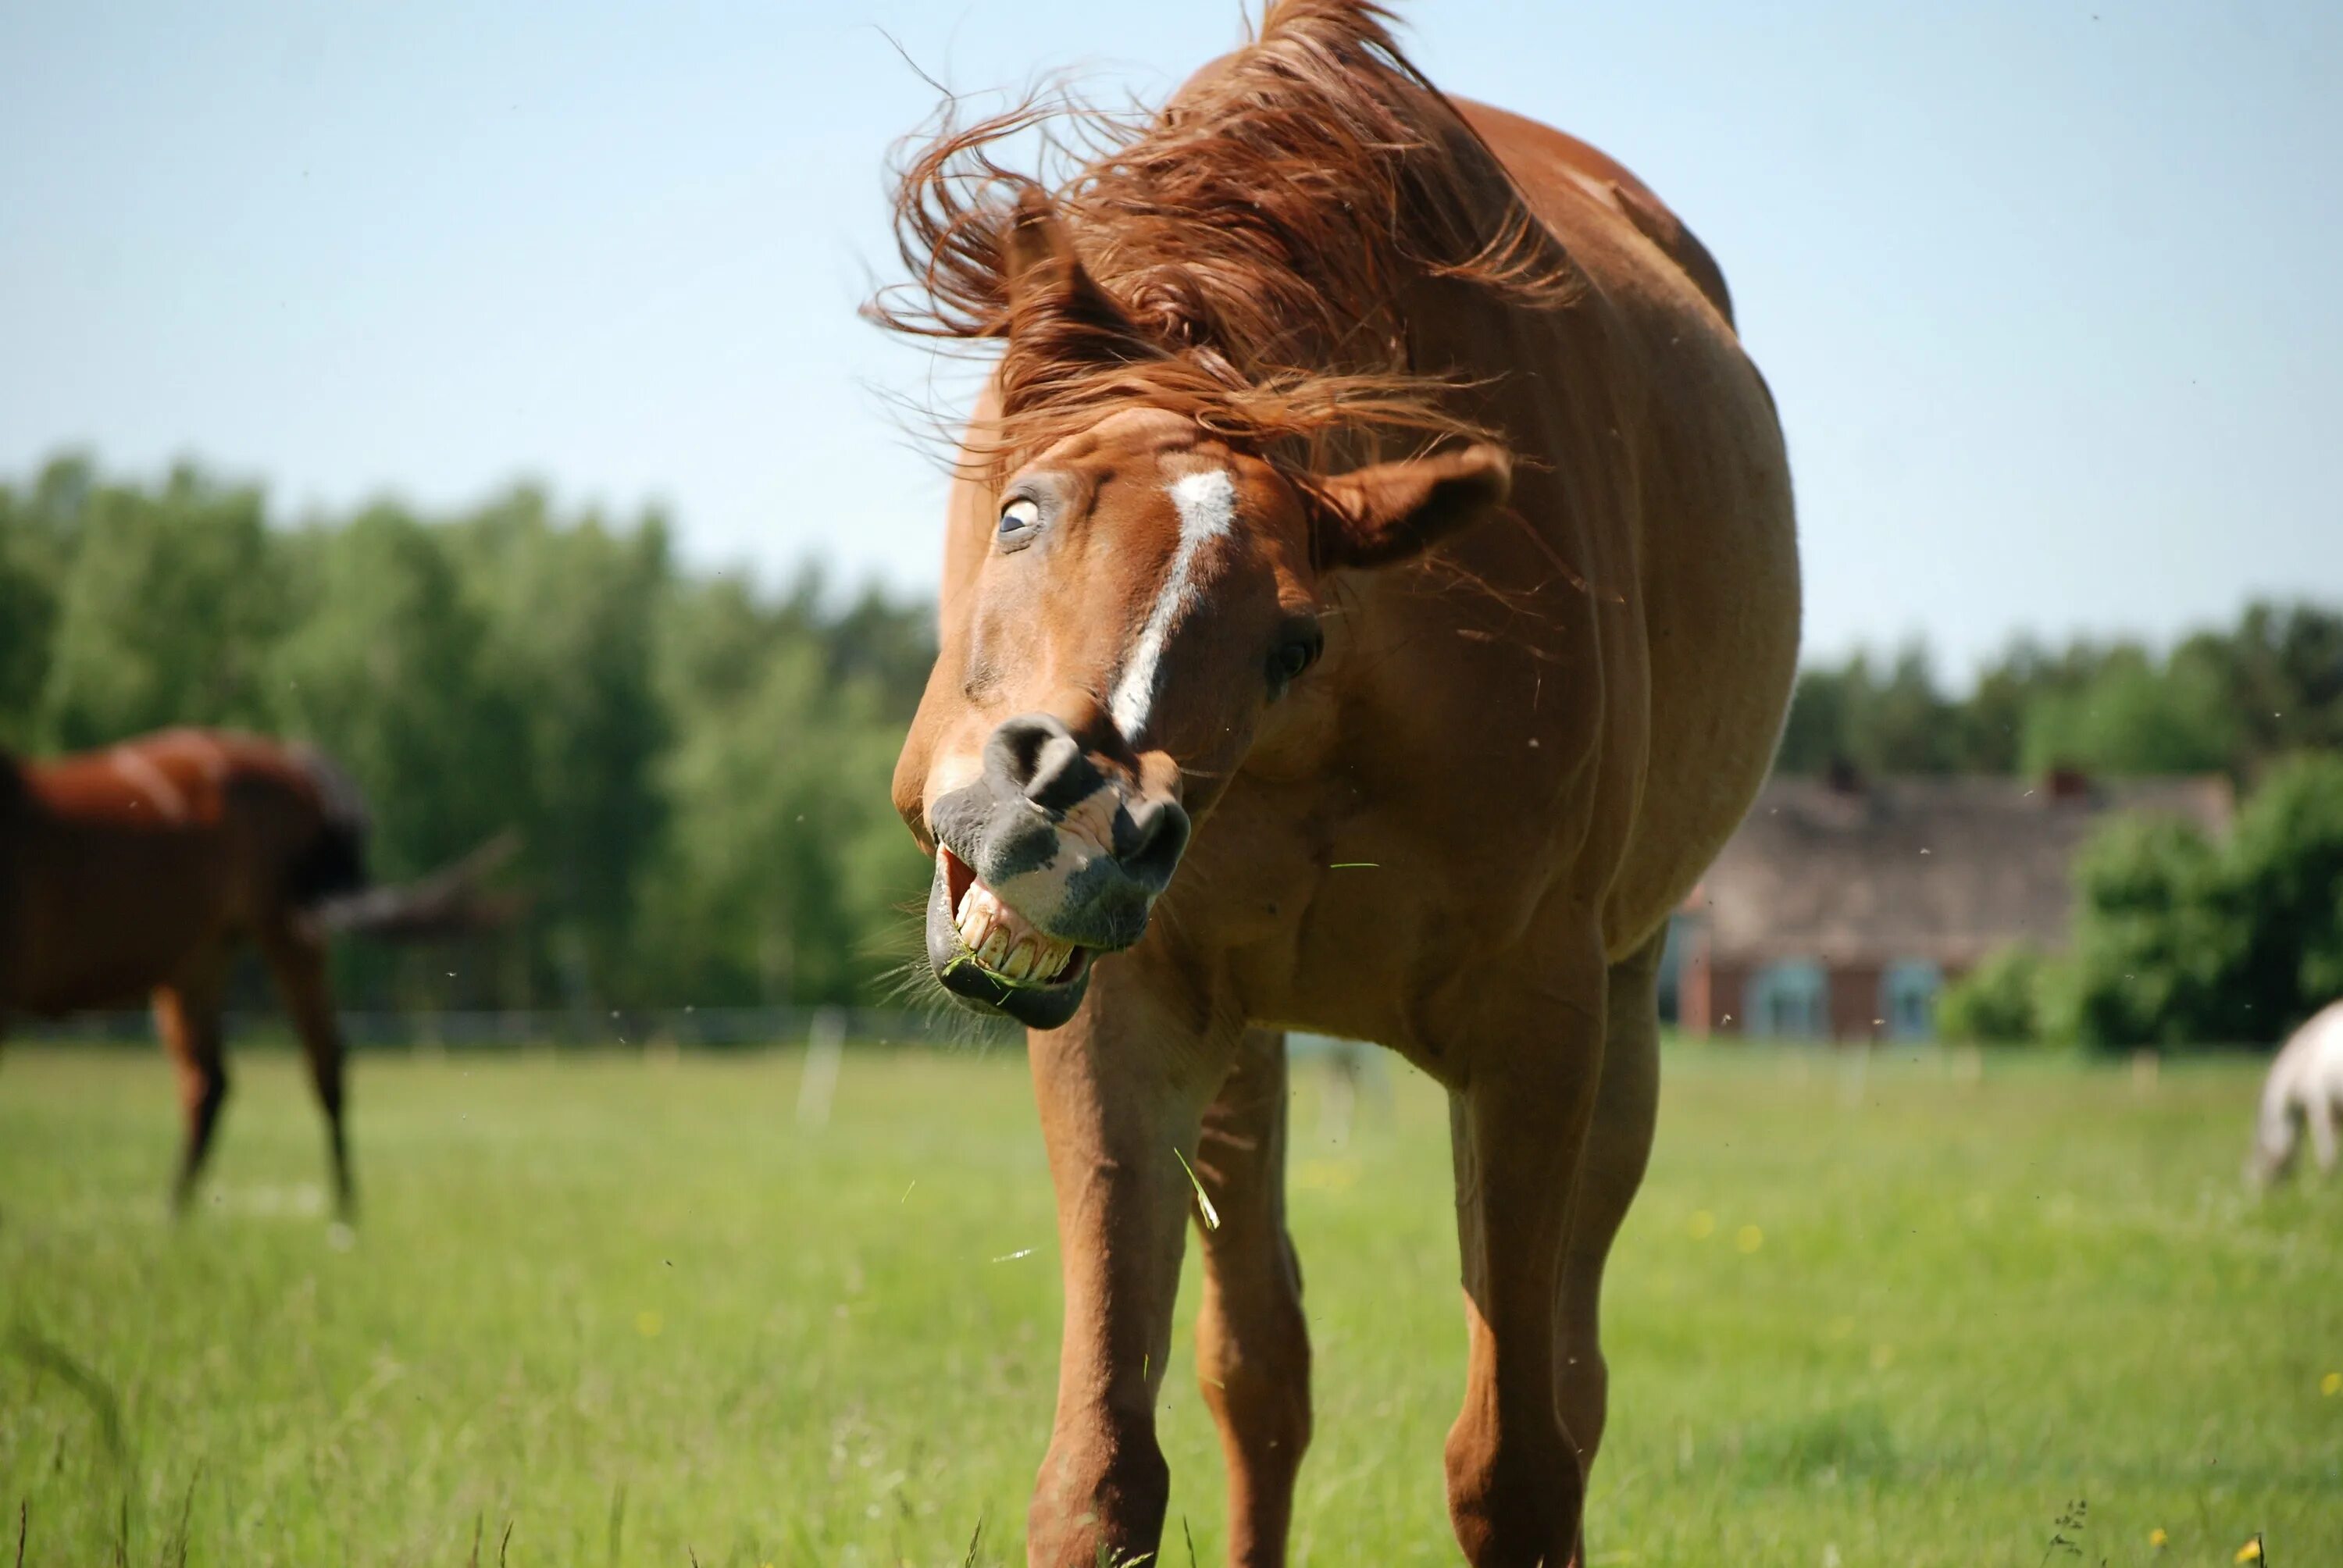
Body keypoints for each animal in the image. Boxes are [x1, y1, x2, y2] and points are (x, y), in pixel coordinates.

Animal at [0, 726, 511, 1218]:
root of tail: (291, 762)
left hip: (285, 934)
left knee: (320, 1066)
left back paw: (342, 1215)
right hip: (198, 963)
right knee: (208, 1083)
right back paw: (175, 1216)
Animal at [872, 5, 1799, 1556]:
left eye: (1292, 639)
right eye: (1022, 513)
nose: (1074, 818)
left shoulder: (1536, 1034)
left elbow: (1517, 1462)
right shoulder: (1128, 1017)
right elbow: (1109, 1466)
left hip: (1621, 1025)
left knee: (1571, 1379)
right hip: (1246, 1048)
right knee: (1262, 1374)